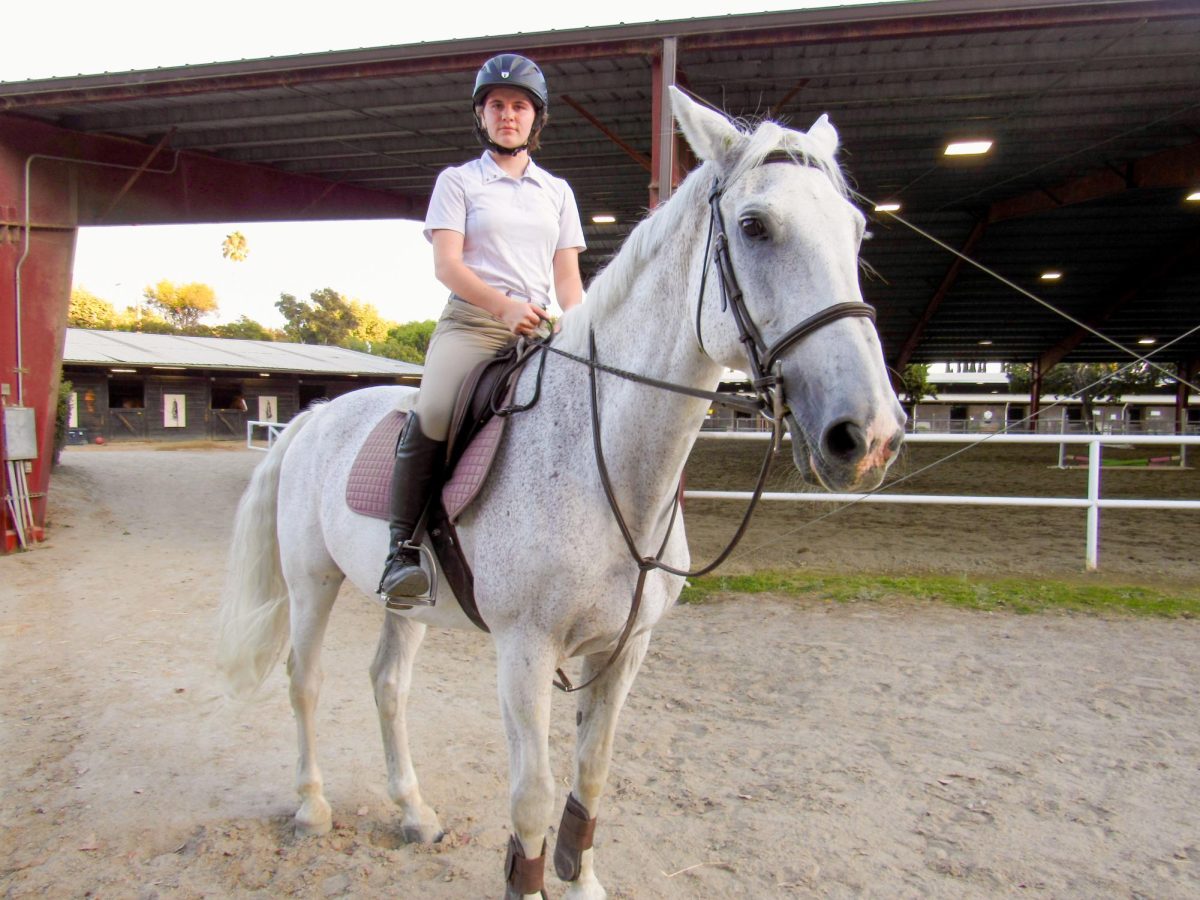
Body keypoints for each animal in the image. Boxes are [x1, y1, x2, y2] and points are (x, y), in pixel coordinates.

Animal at [220, 86, 902, 900]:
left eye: (857, 231)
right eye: (754, 226)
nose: (869, 435)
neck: (603, 466)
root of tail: (313, 417)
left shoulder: (626, 649)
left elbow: (592, 778)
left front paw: (581, 881)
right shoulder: (524, 652)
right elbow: (533, 798)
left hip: (406, 601)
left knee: (388, 685)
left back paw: (415, 813)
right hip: (311, 582)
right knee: (306, 681)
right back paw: (312, 807)